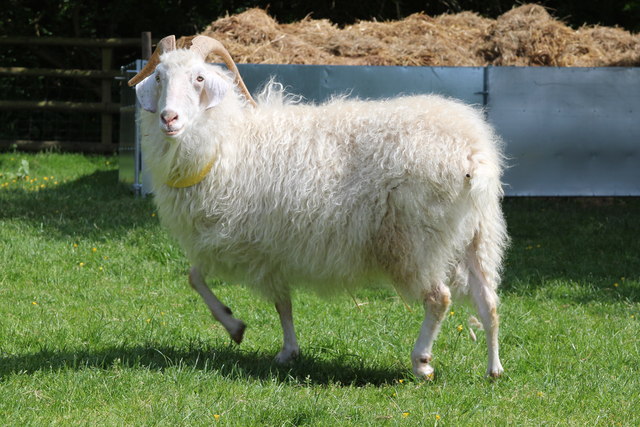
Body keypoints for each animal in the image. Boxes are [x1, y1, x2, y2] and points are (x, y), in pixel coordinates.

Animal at [129, 35, 510, 380]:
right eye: (159, 77)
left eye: (199, 78)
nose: (169, 118)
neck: (224, 143)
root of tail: (473, 153)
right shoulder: (269, 248)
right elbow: (253, 295)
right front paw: (279, 347)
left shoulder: (249, 243)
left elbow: (210, 281)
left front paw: (239, 328)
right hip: (478, 235)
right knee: (489, 302)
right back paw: (494, 370)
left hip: (417, 242)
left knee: (439, 298)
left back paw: (422, 362)